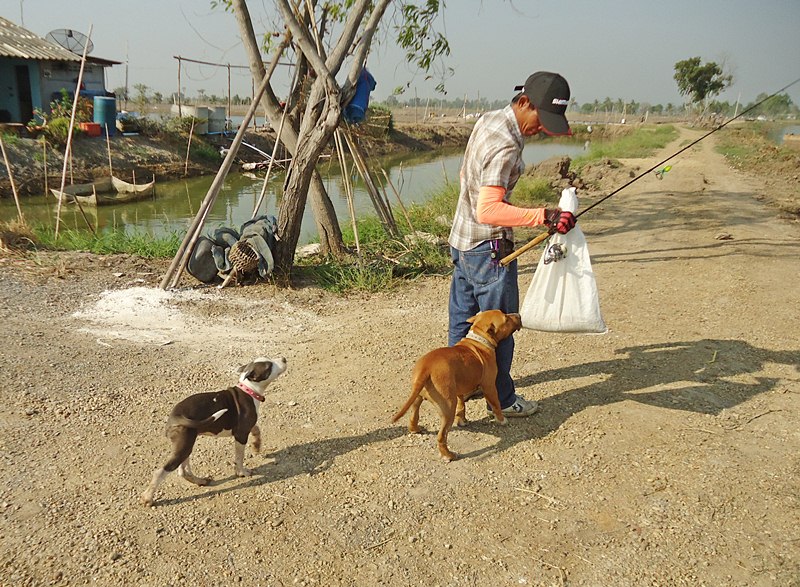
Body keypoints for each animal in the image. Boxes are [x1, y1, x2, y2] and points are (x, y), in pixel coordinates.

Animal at [141, 356, 288, 508]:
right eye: (269, 366)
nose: (284, 358)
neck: (249, 390)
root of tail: (175, 415)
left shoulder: (245, 427)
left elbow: (257, 429)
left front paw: (256, 446)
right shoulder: (241, 434)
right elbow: (239, 457)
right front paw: (241, 472)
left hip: (186, 444)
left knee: (183, 471)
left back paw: (200, 481)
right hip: (184, 445)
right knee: (161, 471)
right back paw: (147, 497)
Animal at [394, 310, 524, 462]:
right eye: (506, 319)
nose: (519, 315)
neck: (479, 339)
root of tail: (426, 369)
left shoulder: (460, 389)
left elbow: (462, 406)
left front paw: (462, 420)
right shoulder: (490, 386)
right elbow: (496, 405)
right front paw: (502, 420)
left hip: (418, 399)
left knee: (413, 417)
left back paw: (415, 429)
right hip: (448, 408)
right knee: (441, 436)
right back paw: (448, 455)